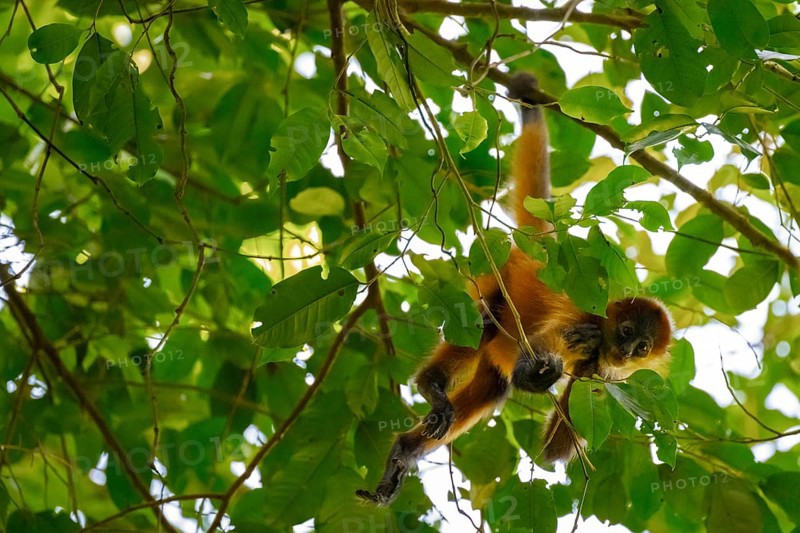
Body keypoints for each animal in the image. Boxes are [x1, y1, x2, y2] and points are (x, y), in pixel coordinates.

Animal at [355, 72, 672, 506]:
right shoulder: (581, 316)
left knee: (493, 387)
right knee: (485, 325)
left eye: (642, 348)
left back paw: (404, 452)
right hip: (494, 276)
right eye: (625, 332)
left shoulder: (603, 373)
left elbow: (556, 448)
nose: (624, 352)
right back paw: (430, 384)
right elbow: (539, 349)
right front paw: (538, 375)